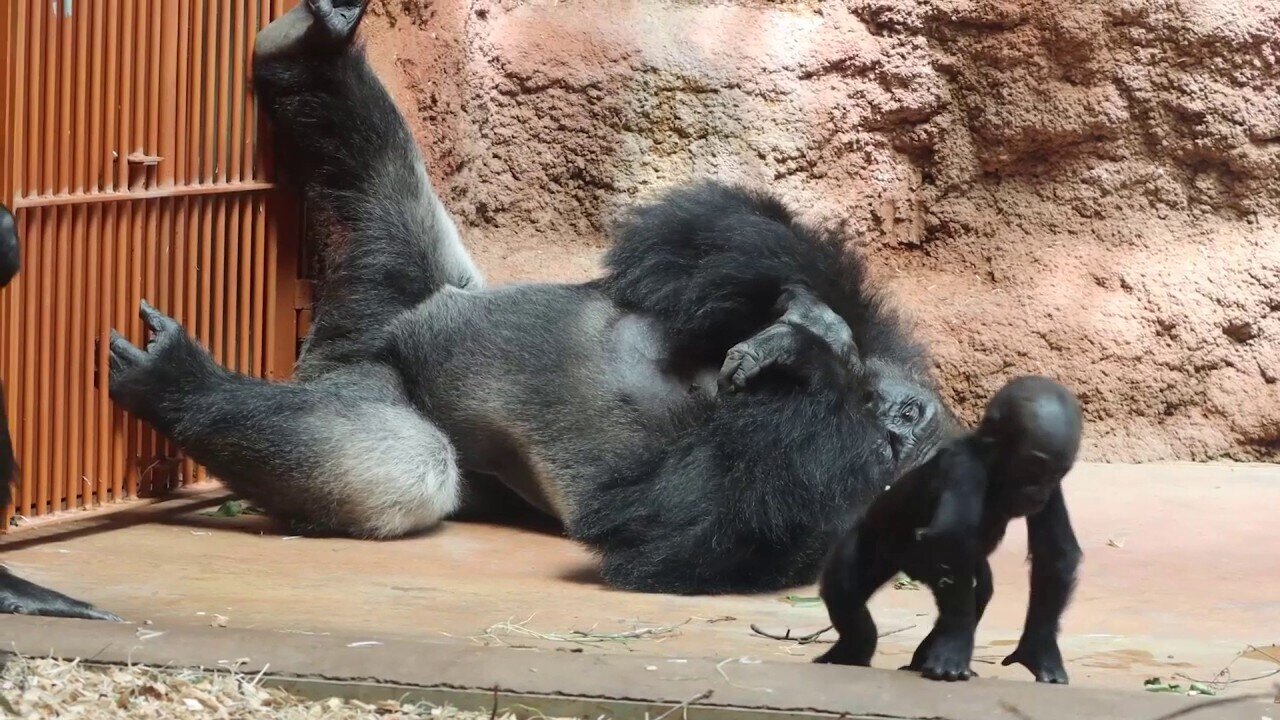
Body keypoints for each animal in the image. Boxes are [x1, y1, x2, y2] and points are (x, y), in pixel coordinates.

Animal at [808, 371, 1080, 681]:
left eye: (1057, 473)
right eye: (1033, 470)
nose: (1039, 493)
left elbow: (1053, 551)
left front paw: (1040, 650)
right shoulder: (963, 466)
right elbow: (951, 541)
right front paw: (953, 651)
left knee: (977, 589)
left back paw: (916, 659)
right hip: (870, 537)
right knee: (844, 591)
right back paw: (850, 652)